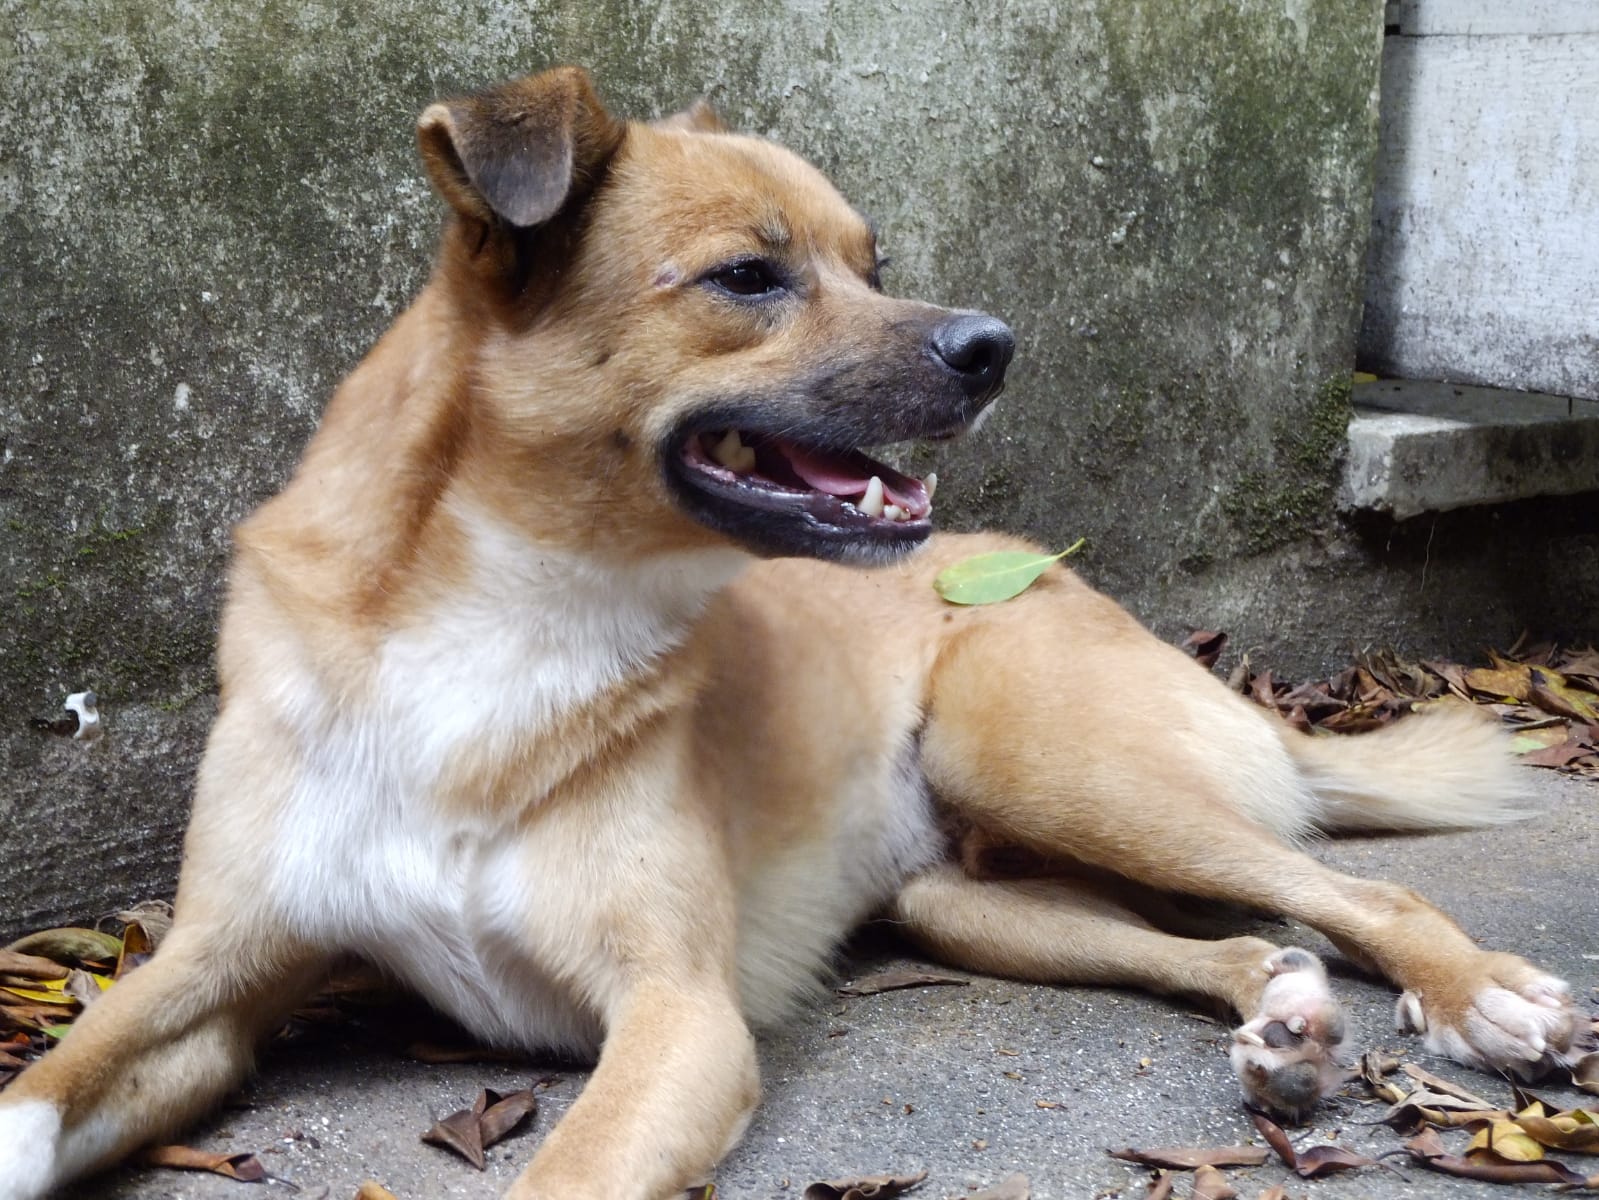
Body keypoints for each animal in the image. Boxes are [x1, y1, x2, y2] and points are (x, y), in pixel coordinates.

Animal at [0, 68, 1586, 1200]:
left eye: (869, 261)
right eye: (748, 277)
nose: (995, 347)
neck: (498, 612)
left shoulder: (677, 1018)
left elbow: (571, 1175)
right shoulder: (210, 974)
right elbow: (43, 1091)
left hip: (1044, 763)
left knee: (1353, 890)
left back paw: (1482, 996)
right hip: (966, 898)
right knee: (1239, 939)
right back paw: (1283, 1020)